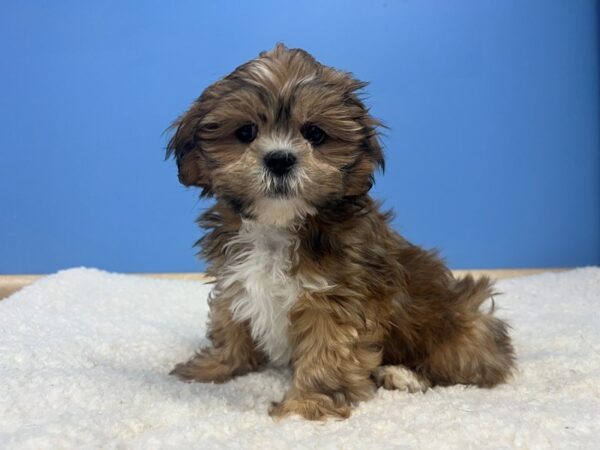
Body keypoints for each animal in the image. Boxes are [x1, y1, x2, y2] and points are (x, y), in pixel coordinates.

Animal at [166, 44, 512, 420]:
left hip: (462, 328)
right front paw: (215, 366)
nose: (280, 159)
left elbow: (329, 352)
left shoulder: (336, 299)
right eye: (246, 132)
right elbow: (229, 322)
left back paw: (404, 375)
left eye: (314, 134)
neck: (278, 226)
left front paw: (306, 404)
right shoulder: (236, 277)